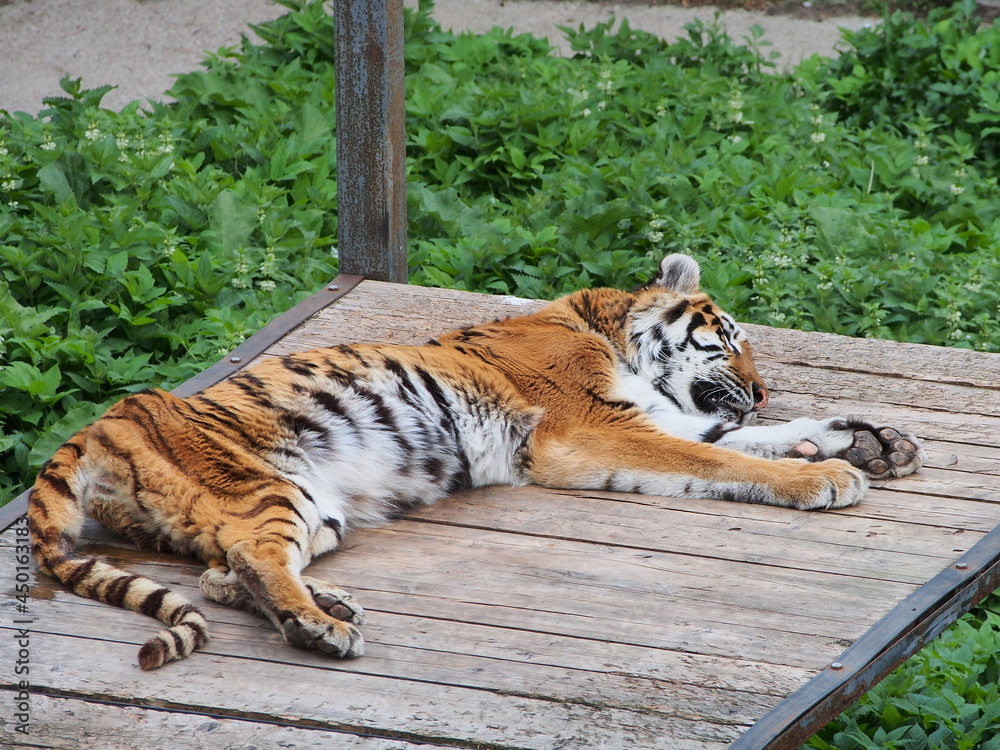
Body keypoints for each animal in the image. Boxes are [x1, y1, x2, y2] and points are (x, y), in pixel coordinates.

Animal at [27, 256, 924, 672]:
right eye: (730, 339)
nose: (764, 386)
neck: (607, 328)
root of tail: (94, 429)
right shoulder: (592, 429)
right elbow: (716, 457)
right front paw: (824, 474)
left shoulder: (654, 417)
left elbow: (739, 442)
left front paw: (856, 437)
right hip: (271, 483)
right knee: (250, 554)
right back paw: (322, 628)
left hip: (314, 507)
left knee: (227, 570)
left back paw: (327, 605)